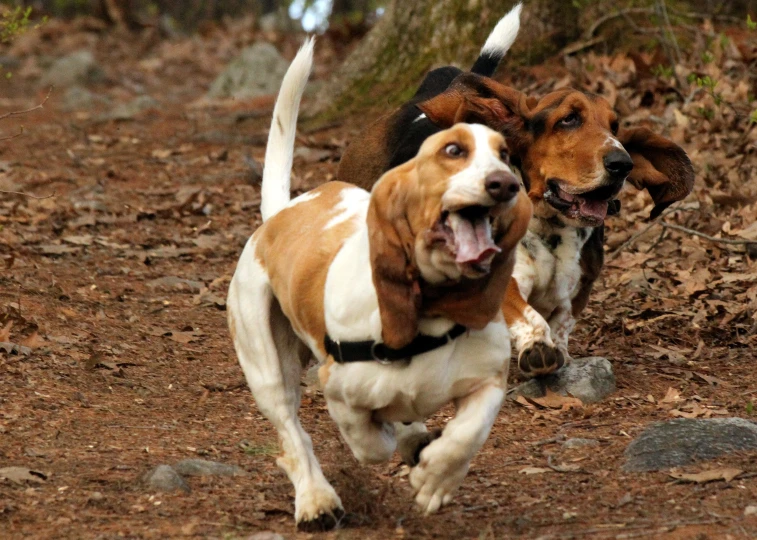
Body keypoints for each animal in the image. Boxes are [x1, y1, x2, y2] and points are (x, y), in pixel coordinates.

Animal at [227, 40, 528, 528]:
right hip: (266, 367)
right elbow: (369, 440)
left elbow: (466, 435)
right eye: (452, 151)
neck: (431, 312)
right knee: (292, 432)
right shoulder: (338, 390)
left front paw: (435, 479)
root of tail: (280, 216)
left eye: (505, 153)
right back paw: (316, 499)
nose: (505, 184)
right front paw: (393, 439)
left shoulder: (488, 382)